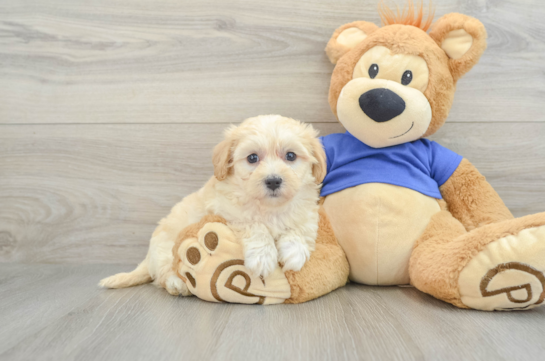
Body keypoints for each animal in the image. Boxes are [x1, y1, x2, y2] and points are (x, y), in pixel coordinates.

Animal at [98, 115, 326, 296]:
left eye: (291, 156)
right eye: (252, 158)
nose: (273, 181)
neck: (270, 207)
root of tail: (147, 258)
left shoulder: (306, 210)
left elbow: (301, 227)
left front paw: (294, 253)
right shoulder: (228, 210)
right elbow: (255, 225)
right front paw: (263, 257)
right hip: (165, 250)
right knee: (163, 274)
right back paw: (176, 284)